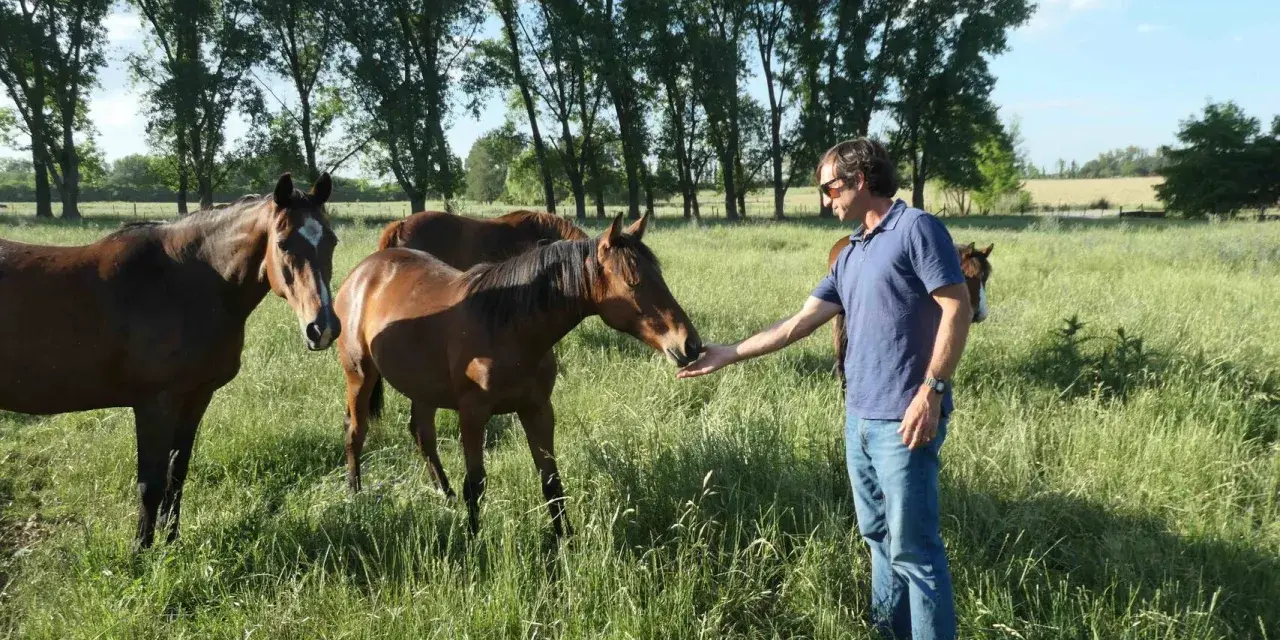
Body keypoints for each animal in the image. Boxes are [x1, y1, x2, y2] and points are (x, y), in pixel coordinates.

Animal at [0, 173, 340, 551]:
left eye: (332, 241)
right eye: (282, 244)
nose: (323, 328)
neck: (184, 282)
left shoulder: (195, 397)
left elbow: (176, 473)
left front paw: (170, 541)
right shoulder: (154, 404)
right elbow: (150, 483)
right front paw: (140, 551)